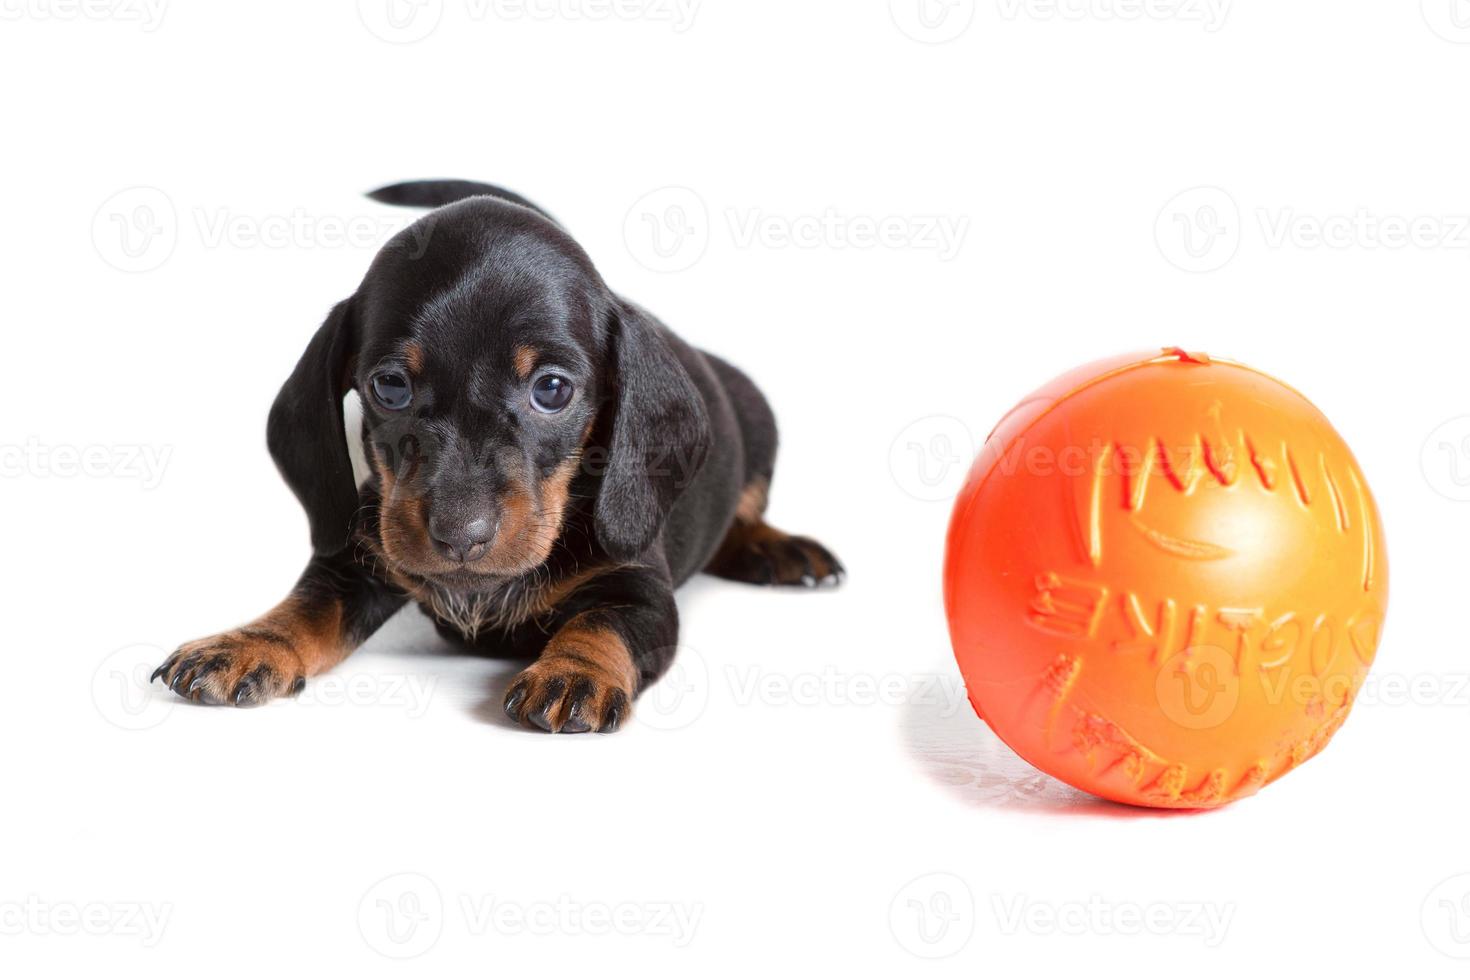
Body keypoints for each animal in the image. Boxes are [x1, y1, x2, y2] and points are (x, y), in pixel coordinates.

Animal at [153, 179, 846, 734]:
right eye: (390, 386)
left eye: (552, 389)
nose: (461, 536)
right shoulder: (357, 558)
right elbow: (307, 605)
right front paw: (248, 642)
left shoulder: (641, 589)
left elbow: (603, 624)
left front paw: (573, 673)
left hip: (757, 422)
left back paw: (776, 548)